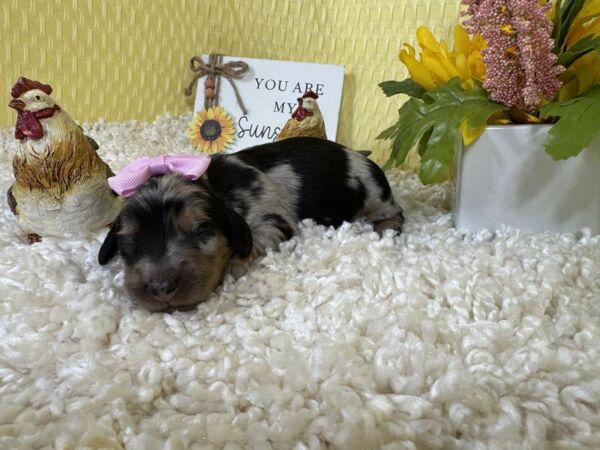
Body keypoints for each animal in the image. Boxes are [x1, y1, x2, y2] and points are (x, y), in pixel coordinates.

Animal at [98, 137, 404, 312]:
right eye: (128, 241)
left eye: (202, 231)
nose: (161, 289)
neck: (220, 188)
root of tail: (356, 153)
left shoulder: (272, 220)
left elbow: (254, 243)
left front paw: (235, 267)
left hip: (375, 193)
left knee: (395, 213)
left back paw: (386, 230)